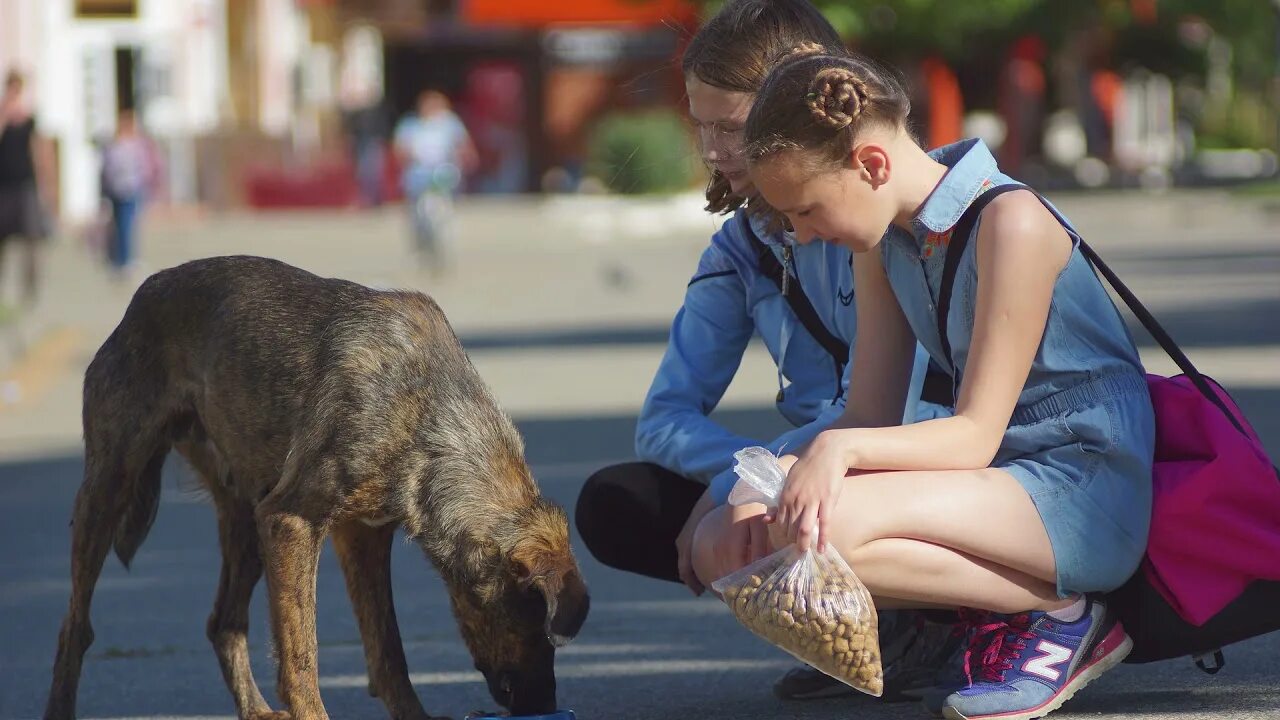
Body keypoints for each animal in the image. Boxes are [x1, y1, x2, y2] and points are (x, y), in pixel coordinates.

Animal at [42, 254, 591, 712]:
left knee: (224, 623)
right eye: (536, 623)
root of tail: (141, 297)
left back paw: (258, 711)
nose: (544, 705)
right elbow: (302, 656)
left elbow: (388, 654)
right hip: (111, 486)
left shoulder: (363, 535)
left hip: (246, 519)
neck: (429, 410)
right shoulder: (292, 522)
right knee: (75, 627)